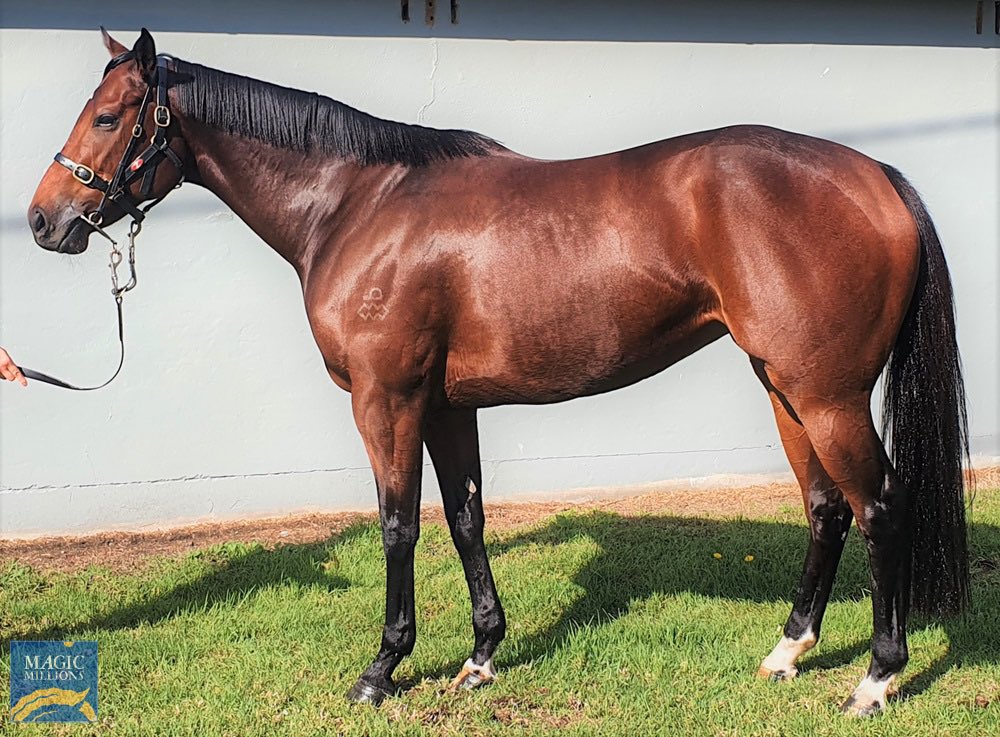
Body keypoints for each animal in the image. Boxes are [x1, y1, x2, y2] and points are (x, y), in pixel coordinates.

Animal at [28, 29, 970, 716]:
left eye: (108, 117)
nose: (43, 219)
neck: (358, 204)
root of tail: (875, 174)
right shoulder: (447, 406)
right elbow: (465, 519)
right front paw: (481, 654)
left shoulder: (388, 400)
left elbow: (397, 524)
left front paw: (382, 667)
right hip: (785, 388)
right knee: (826, 508)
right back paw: (788, 649)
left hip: (826, 395)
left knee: (880, 508)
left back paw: (877, 677)